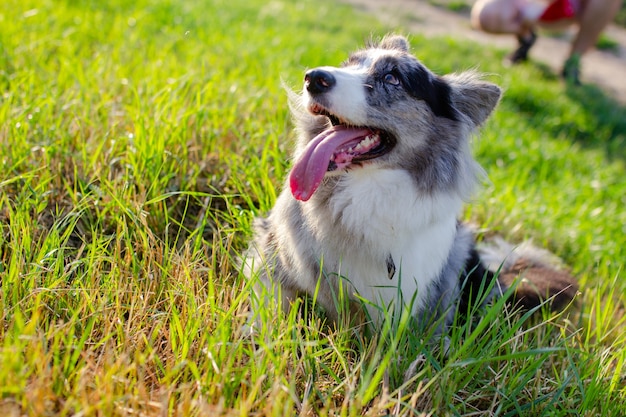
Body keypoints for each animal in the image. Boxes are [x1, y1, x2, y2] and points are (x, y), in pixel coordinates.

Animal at [243, 34, 576, 334]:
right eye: (348, 64)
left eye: (393, 78)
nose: (313, 78)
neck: (368, 188)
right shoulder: (272, 252)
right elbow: (275, 300)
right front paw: (257, 334)